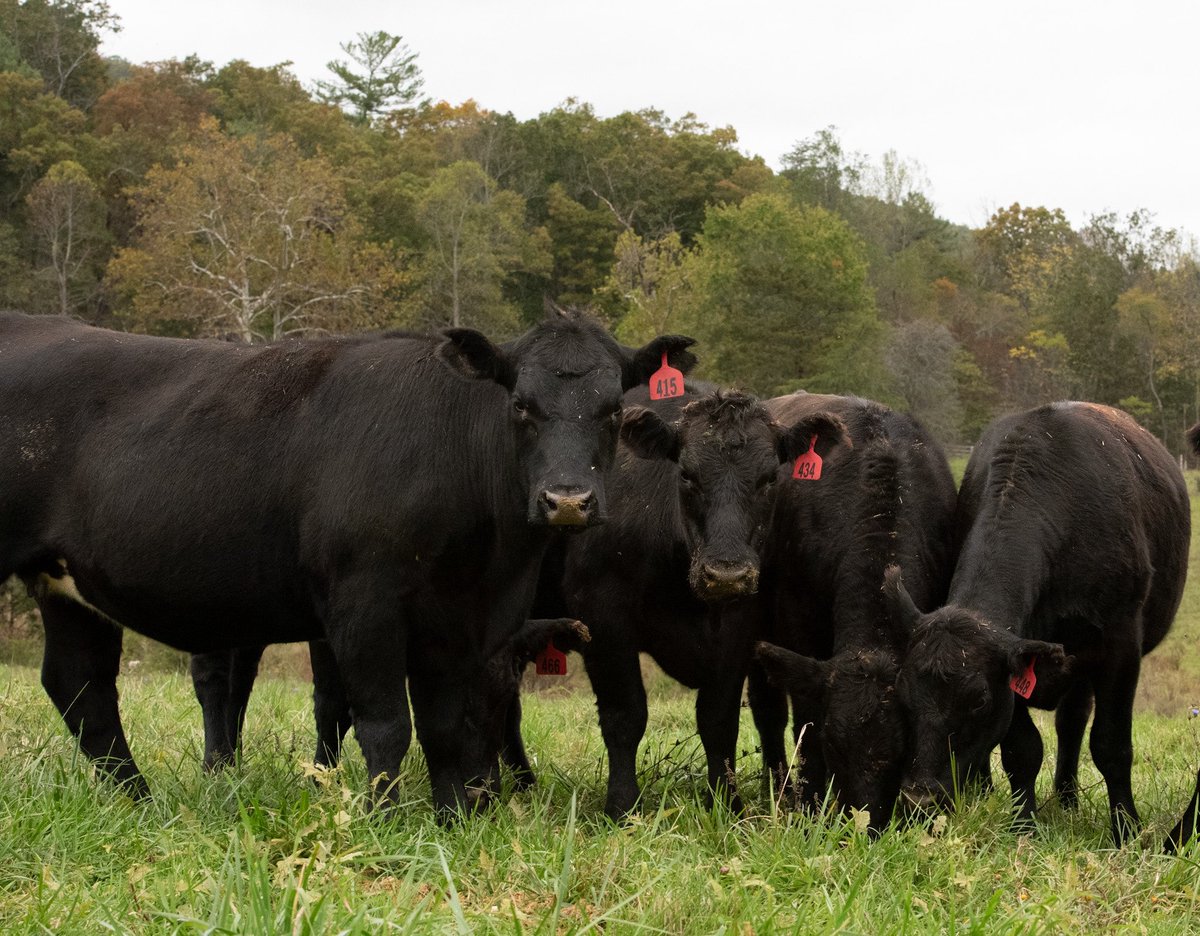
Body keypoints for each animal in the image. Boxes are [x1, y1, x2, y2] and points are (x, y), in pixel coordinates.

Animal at [0, 309, 695, 820]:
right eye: (521, 404)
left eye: (613, 409)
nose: (568, 500)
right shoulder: (364, 604)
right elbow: (385, 725)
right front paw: (384, 818)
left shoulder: (458, 620)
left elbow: (444, 726)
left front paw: (450, 819)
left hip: (67, 585)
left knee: (80, 688)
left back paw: (143, 805)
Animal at [535, 385, 848, 818]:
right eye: (686, 474)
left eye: (770, 478)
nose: (726, 573)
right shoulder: (603, 620)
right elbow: (625, 714)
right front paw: (622, 806)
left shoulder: (737, 630)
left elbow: (718, 721)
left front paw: (727, 804)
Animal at [747, 393, 959, 831]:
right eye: (833, 743)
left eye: (902, 747)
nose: (864, 824)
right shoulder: (798, 627)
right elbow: (804, 721)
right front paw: (810, 804)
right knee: (768, 711)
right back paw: (777, 790)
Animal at [887, 402, 1189, 845]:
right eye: (904, 693)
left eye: (978, 700)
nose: (919, 799)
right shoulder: (1015, 659)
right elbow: (1022, 749)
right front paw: (1023, 825)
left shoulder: (1120, 645)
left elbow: (1111, 744)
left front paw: (1125, 829)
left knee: (1073, 722)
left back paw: (1068, 798)